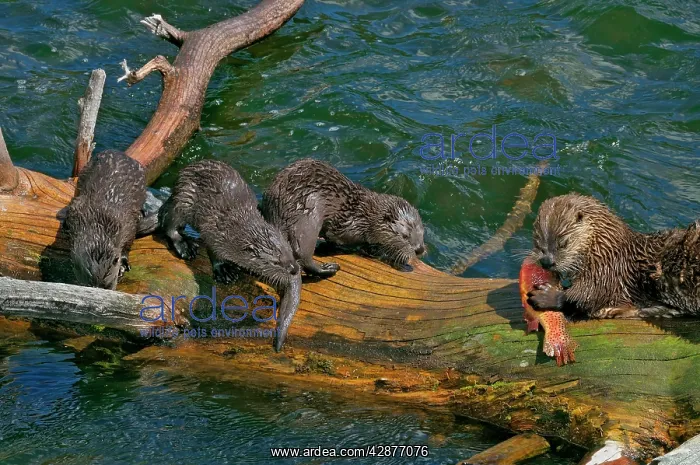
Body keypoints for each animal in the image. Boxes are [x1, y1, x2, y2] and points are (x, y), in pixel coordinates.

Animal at [63, 149, 156, 290]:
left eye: (107, 285)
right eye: (89, 285)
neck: (98, 220)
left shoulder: (128, 224)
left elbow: (128, 244)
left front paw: (123, 265)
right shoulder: (76, 208)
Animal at [158, 160, 301, 351]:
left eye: (289, 252)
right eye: (276, 262)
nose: (294, 269)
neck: (235, 228)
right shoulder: (213, 232)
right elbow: (214, 253)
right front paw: (224, 271)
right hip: (182, 200)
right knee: (170, 225)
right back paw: (186, 246)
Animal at [261, 158, 426, 275]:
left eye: (422, 233)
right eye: (405, 236)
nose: (420, 250)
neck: (364, 215)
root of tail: (277, 209)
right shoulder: (346, 226)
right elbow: (338, 238)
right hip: (309, 215)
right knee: (303, 254)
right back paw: (328, 268)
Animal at [527, 193, 699, 318]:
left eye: (563, 243)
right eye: (537, 241)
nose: (546, 261)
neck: (606, 248)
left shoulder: (607, 273)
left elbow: (585, 296)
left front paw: (546, 295)